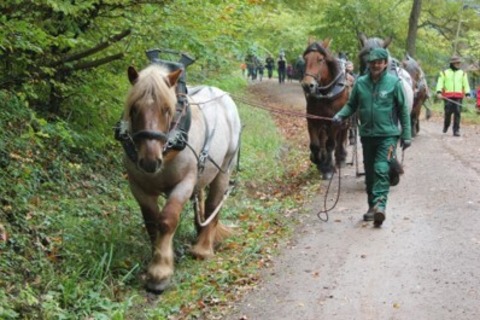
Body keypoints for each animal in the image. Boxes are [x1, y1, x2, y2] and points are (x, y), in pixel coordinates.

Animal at [118, 63, 242, 292]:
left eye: (167, 109)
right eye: (134, 109)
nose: (149, 161)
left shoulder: (184, 184)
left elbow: (167, 221)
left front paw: (160, 272)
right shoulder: (139, 187)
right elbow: (152, 223)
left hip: (224, 168)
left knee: (213, 205)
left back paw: (203, 247)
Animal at [302, 38, 350, 180]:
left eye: (320, 59)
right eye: (305, 59)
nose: (307, 85)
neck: (326, 94)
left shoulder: (334, 122)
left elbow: (330, 144)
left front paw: (328, 168)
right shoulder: (313, 120)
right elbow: (315, 145)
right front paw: (318, 160)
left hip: (345, 122)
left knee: (341, 137)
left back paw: (341, 157)